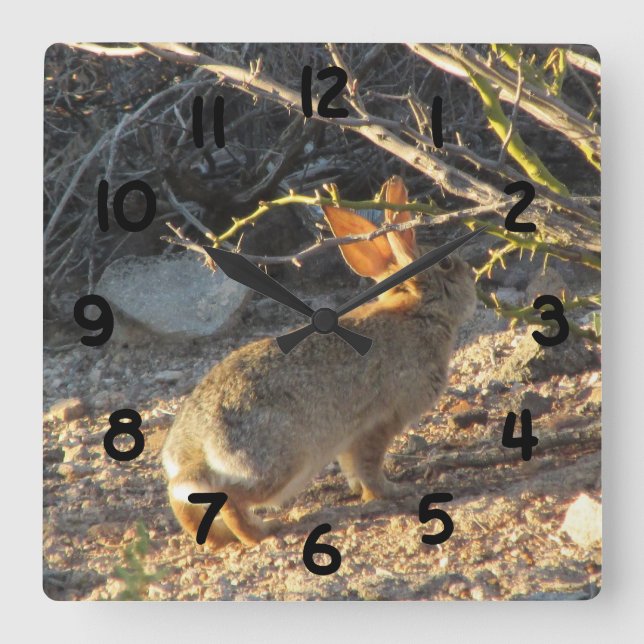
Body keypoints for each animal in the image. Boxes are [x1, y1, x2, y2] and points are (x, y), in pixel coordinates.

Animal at [162, 176, 477, 549]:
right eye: (447, 265)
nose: (473, 277)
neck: (416, 314)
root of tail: (192, 452)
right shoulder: (378, 422)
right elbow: (370, 466)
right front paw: (390, 492)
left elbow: (354, 469)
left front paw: (364, 494)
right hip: (283, 462)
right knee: (228, 499)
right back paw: (263, 531)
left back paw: (219, 539)